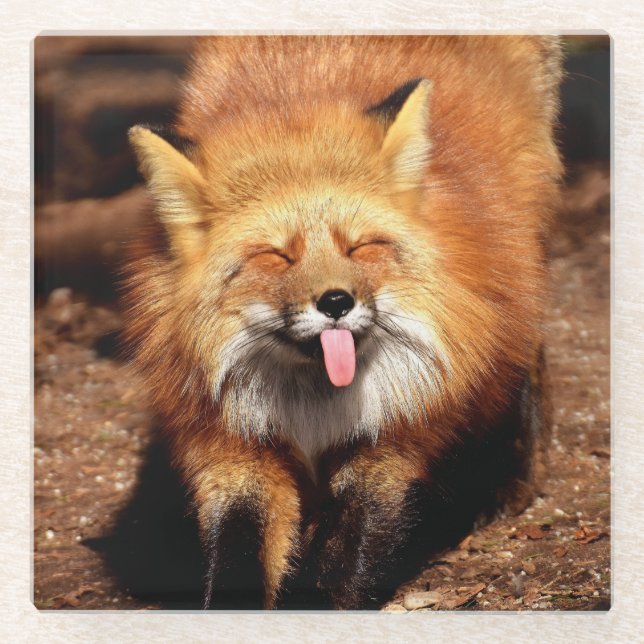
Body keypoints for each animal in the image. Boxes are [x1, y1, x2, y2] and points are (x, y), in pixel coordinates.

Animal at [124, 36, 563, 609]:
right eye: (276, 256)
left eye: (360, 246)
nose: (336, 301)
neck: (314, 408)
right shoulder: (233, 448)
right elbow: (239, 548)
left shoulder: (391, 442)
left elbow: (345, 556)